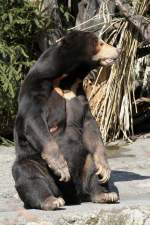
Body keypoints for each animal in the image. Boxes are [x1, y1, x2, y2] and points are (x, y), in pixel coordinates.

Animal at [12, 29, 121, 209]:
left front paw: (105, 169)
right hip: (35, 161)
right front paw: (61, 166)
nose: (118, 50)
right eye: (100, 43)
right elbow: (34, 120)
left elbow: (90, 126)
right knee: (28, 173)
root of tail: (74, 197)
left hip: (84, 162)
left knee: (92, 169)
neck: (67, 78)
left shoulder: (80, 96)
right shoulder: (36, 88)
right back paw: (51, 200)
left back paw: (105, 194)